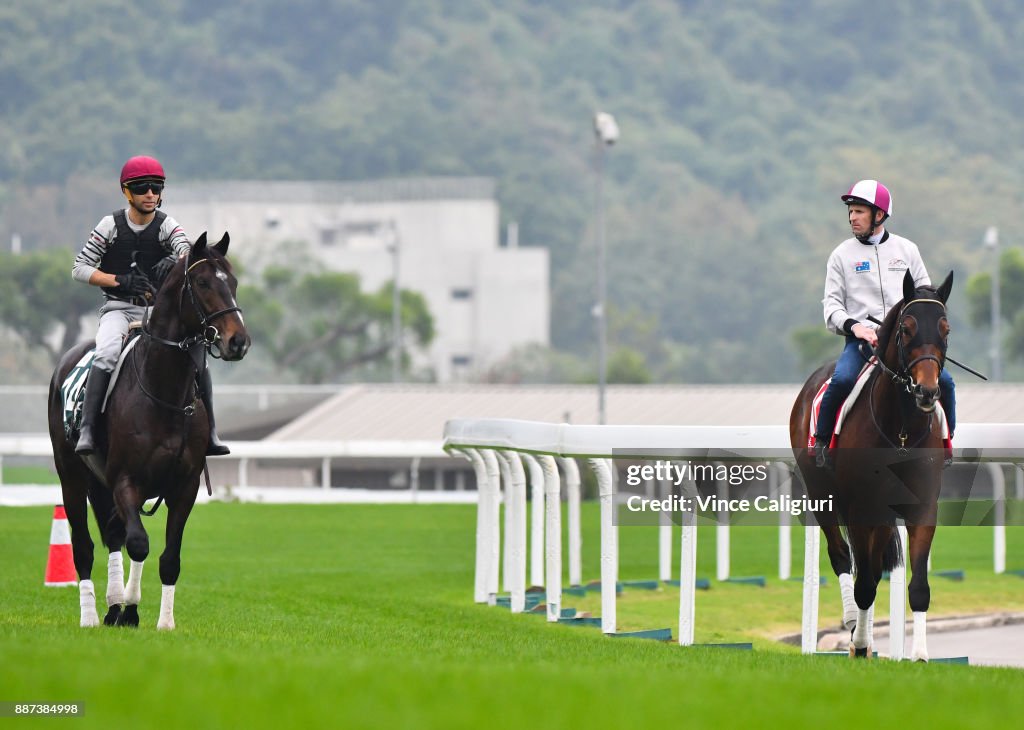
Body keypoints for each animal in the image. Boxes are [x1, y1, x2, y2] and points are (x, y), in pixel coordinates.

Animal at [46, 232, 249, 626]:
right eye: (203, 283)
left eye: (232, 283)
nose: (238, 341)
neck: (163, 392)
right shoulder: (126, 479)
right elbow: (138, 543)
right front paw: (129, 605)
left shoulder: (183, 487)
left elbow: (168, 558)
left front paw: (160, 620)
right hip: (72, 477)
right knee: (84, 546)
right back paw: (91, 615)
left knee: (112, 535)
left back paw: (112, 607)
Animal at [790, 270, 950, 659]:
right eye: (906, 328)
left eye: (945, 328)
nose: (927, 391)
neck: (901, 431)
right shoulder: (862, 507)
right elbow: (863, 581)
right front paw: (860, 644)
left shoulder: (921, 507)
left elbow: (916, 584)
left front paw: (919, 655)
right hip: (823, 496)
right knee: (842, 557)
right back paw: (852, 624)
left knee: (873, 567)